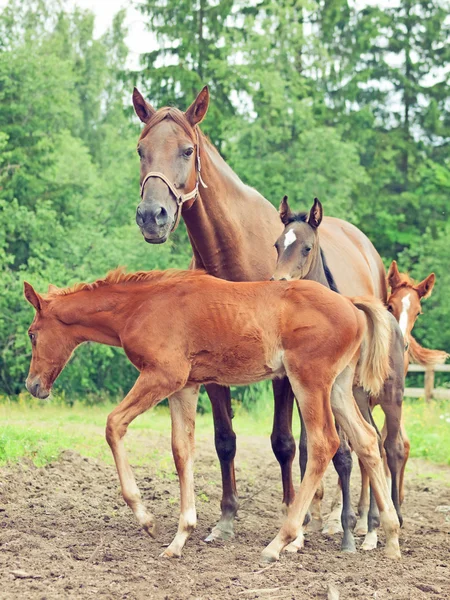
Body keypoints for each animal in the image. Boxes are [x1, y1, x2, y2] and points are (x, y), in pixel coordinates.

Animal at [23, 270, 400, 560]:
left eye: (32, 334)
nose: (33, 385)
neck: (140, 307)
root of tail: (350, 304)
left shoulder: (162, 376)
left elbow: (114, 424)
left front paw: (146, 519)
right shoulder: (184, 387)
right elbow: (182, 450)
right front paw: (179, 538)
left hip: (309, 380)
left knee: (325, 443)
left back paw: (280, 542)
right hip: (339, 386)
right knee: (368, 441)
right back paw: (391, 537)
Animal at [132, 85, 388, 544]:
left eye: (186, 150)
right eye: (141, 150)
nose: (151, 216)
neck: (232, 255)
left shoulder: (283, 375)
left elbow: (284, 442)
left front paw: (291, 518)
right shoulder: (212, 370)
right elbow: (225, 440)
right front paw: (226, 519)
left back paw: (354, 521)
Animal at [272, 198, 406, 552]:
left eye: (306, 247)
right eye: (277, 244)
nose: (278, 282)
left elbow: (342, 454)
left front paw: (345, 532)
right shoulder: (309, 392)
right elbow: (315, 450)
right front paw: (303, 533)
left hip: (391, 396)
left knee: (392, 448)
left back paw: (390, 521)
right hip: (360, 399)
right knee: (373, 445)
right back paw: (371, 527)